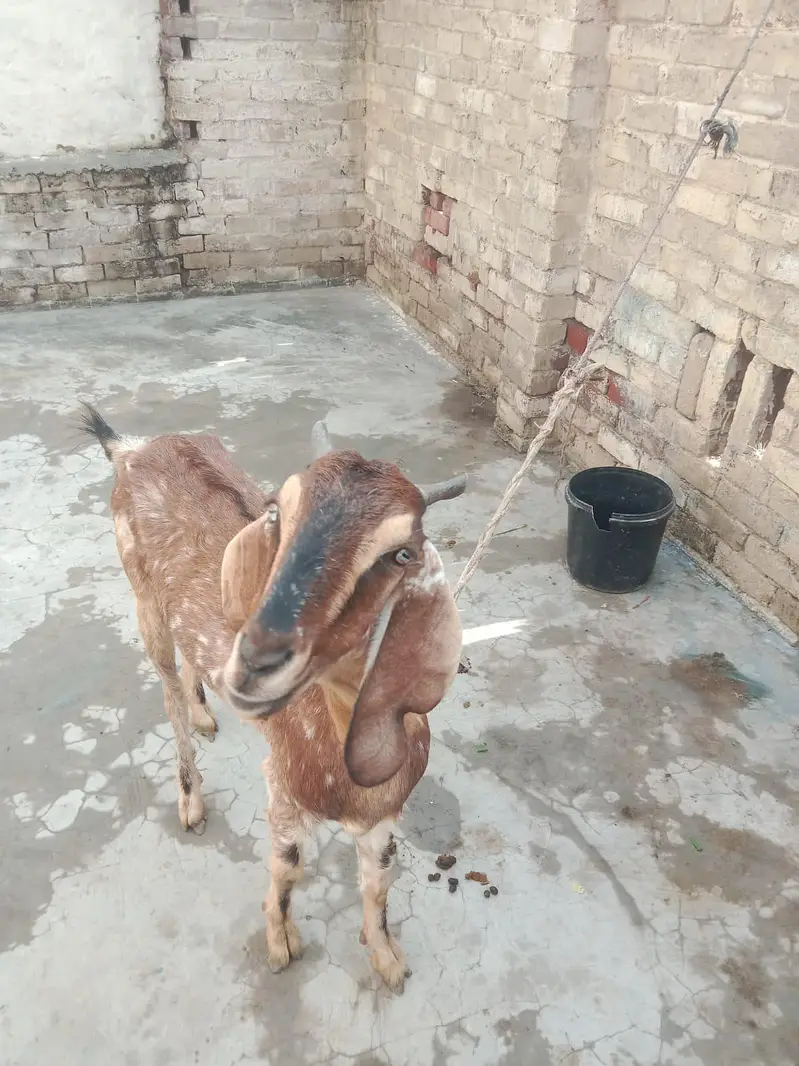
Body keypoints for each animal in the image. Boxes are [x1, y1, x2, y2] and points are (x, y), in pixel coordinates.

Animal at [80, 405, 465, 992]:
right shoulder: (283, 786)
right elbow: (288, 867)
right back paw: (191, 800)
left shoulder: (384, 814)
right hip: (142, 592)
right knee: (166, 691)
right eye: (277, 513)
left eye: (402, 553)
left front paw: (387, 959)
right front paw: (282, 944)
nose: (261, 651)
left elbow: (378, 882)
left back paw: (205, 712)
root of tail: (131, 449)